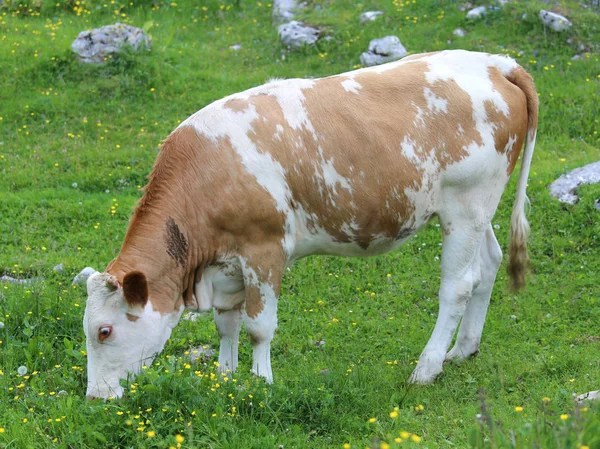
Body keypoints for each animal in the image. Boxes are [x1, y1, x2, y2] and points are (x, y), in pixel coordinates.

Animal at [82, 50, 536, 398]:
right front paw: (225, 379)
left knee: (457, 286)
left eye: (104, 331)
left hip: (466, 204)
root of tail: (498, 63)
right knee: (489, 263)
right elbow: (226, 324)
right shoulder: (227, 263)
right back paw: (463, 349)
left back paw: (427, 368)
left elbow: (259, 327)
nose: (95, 397)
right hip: (476, 208)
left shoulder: (264, 249)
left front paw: (260, 383)